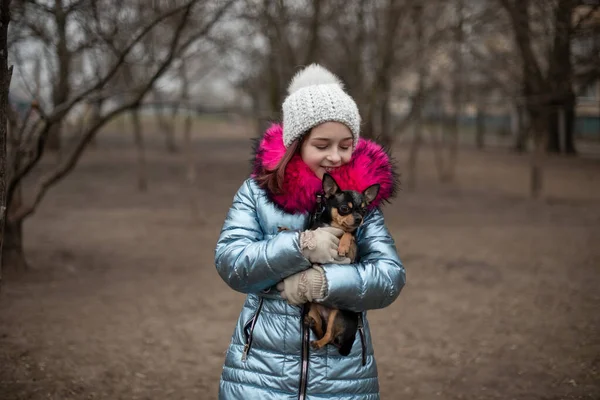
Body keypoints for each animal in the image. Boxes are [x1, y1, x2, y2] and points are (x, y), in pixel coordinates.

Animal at [304, 173, 380, 354]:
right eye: (344, 208)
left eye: (364, 210)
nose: (359, 218)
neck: (331, 226)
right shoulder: (316, 230)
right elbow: (306, 232)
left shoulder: (352, 253)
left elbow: (348, 233)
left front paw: (343, 245)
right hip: (313, 309)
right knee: (322, 331)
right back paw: (312, 324)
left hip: (337, 314)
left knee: (329, 336)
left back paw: (319, 342)